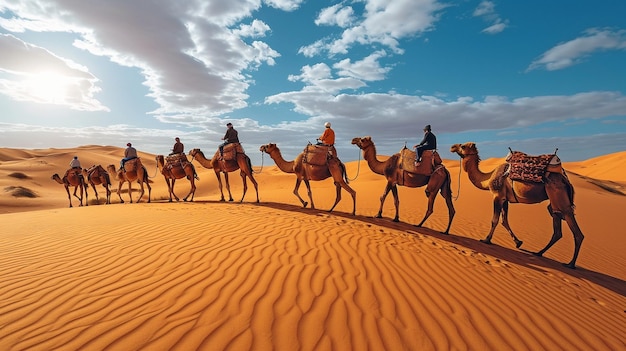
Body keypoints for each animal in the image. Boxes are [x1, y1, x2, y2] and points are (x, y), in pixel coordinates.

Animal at [450, 142, 584, 268]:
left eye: (462, 146)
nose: (452, 147)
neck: (487, 179)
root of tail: (565, 180)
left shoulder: (497, 196)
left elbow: (494, 220)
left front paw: (486, 239)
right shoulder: (505, 199)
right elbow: (504, 221)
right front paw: (518, 242)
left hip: (560, 199)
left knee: (576, 232)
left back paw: (570, 264)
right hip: (554, 204)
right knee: (557, 230)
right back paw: (539, 253)